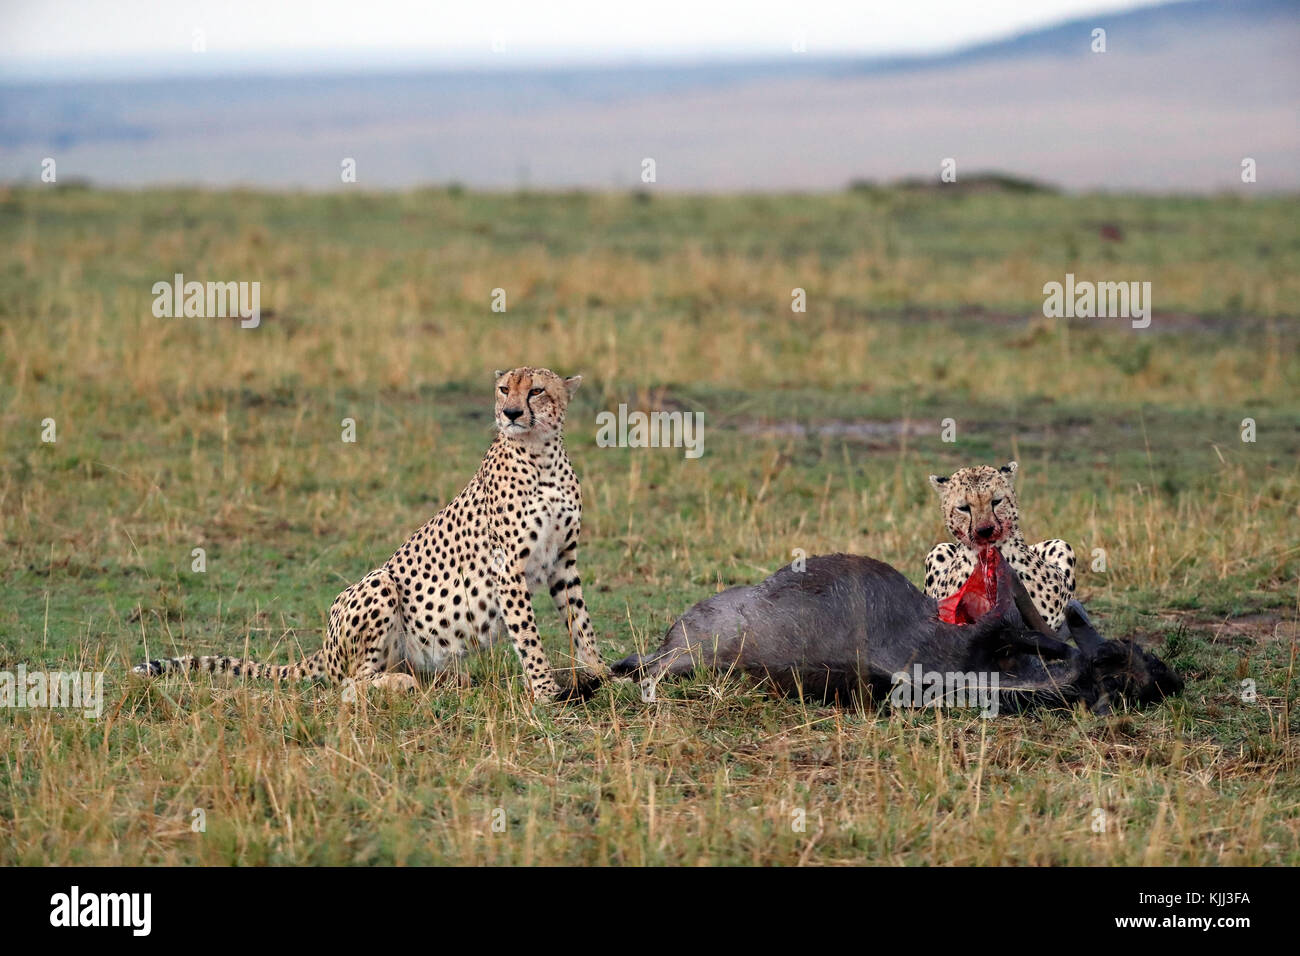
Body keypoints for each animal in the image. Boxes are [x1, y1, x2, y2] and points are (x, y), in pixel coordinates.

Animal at [137, 366, 608, 702]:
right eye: (504, 389)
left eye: (536, 391)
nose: (510, 414)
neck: (541, 454)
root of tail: (324, 647)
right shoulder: (507, 566)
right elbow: (527, 634)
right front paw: (546, 692)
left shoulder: (563, 560)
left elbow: (580, 622)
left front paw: (603, 673)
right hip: (380, 582)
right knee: (348, 683)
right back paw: (399, 685)